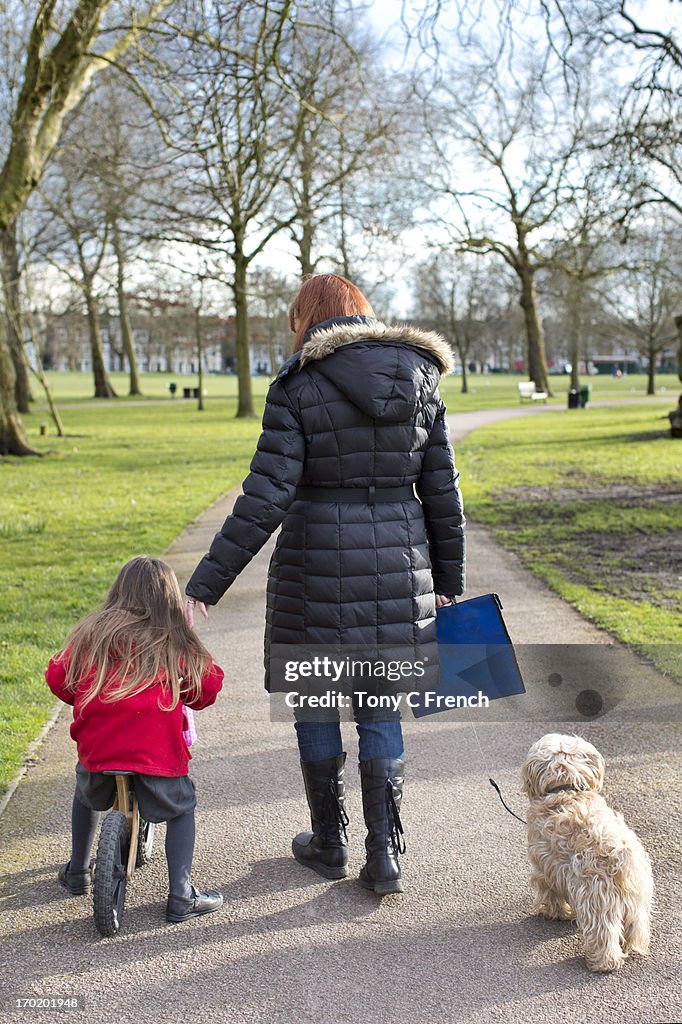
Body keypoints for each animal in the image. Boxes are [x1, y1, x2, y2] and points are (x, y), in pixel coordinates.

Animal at [520, 733, 655, 970]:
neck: (565, 789)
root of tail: (620, 855)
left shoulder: (544, 868)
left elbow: (550, 891)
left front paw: (555, 912)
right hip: (637, 898)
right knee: (636, 924)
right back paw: (633, 946)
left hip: (596, 897)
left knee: (603, 932)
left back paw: (602, 963)